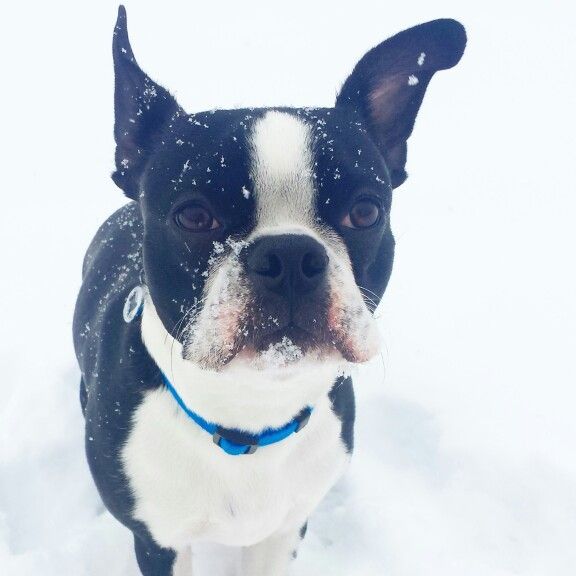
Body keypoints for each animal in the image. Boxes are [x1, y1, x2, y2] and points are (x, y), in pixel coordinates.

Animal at [72, 5, 466, 576]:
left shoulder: (283, 530)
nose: (289, 256)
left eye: (366, 211)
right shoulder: (159, 541)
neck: (250, 418)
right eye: (193, 216)